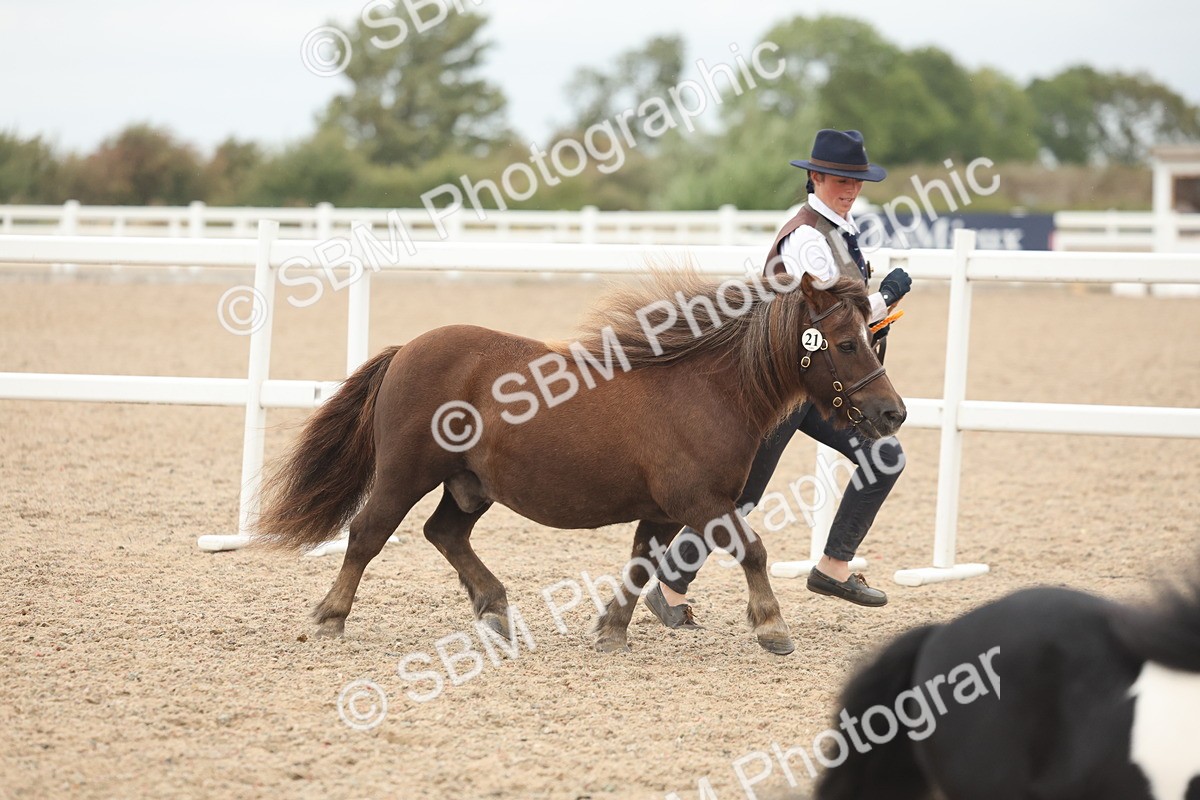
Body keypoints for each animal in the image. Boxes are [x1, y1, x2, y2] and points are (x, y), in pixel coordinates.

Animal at [254, 269, 906, 655]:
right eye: (848, 343)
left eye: (873, 337)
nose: (892, 412)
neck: (707, 390)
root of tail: (407, 349)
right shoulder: (702, 503)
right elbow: (753, 551)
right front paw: (771, 626)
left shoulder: (665, 512)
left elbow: (641, 566)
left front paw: (612, 629)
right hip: (404, 475)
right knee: (367, 534)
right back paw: (331, 617)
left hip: (470, 484)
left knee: (444, 533)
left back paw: (496, 611)